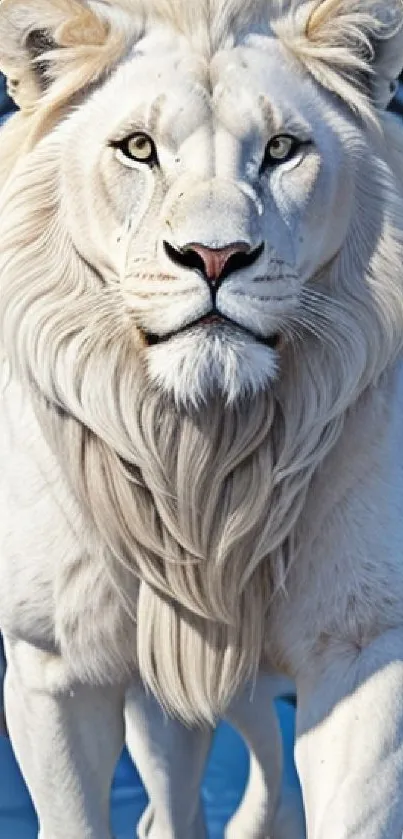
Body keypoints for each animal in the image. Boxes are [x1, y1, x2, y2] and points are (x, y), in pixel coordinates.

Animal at [0, 0, 403, 836]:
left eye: (281, 149)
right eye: (138, 148)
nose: (214, 257)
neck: (205, 465)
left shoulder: (364, 643)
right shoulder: (52, 663)